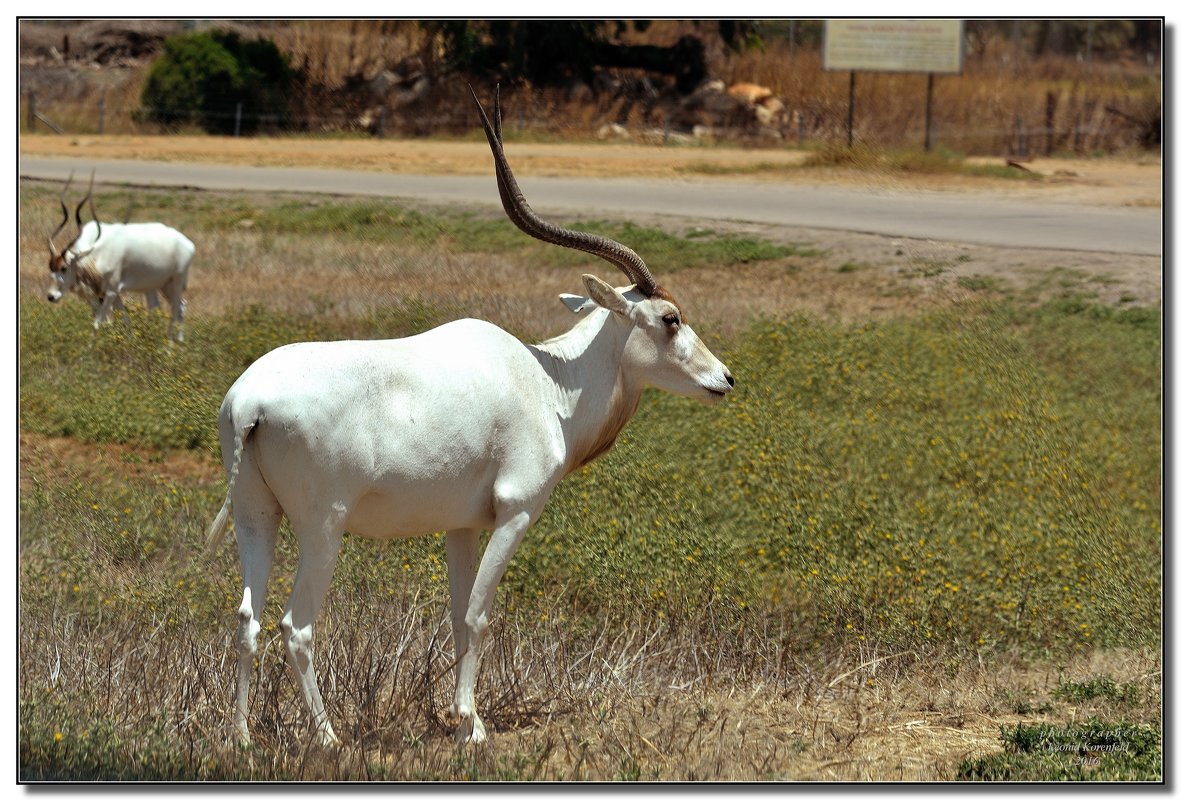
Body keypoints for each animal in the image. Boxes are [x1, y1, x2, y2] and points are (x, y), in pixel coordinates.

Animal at [46, 172, 196, 342]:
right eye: (50, 266)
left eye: (64, 267)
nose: (51, 296)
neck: (95, 252)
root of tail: (188, 244)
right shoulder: (107, 294)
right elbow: (124, 319)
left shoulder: (110, 292)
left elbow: (97, 324)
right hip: (163, 286)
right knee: (178, 307)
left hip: (175, 283)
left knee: (177, 308)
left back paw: (171, 344)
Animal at [207, 84, 732, 751]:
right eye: (670, 318)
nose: (724, 380)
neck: (546, 381)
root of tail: (251, 402)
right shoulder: (516, 513)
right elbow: (481, 615)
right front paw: (472, 726)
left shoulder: (460, 527)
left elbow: (458, 615)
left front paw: (461, 716)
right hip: (323, 526)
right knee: (295, 626)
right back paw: (328, 738)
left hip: (257, 515)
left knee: (247, 617)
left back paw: (242, 737)